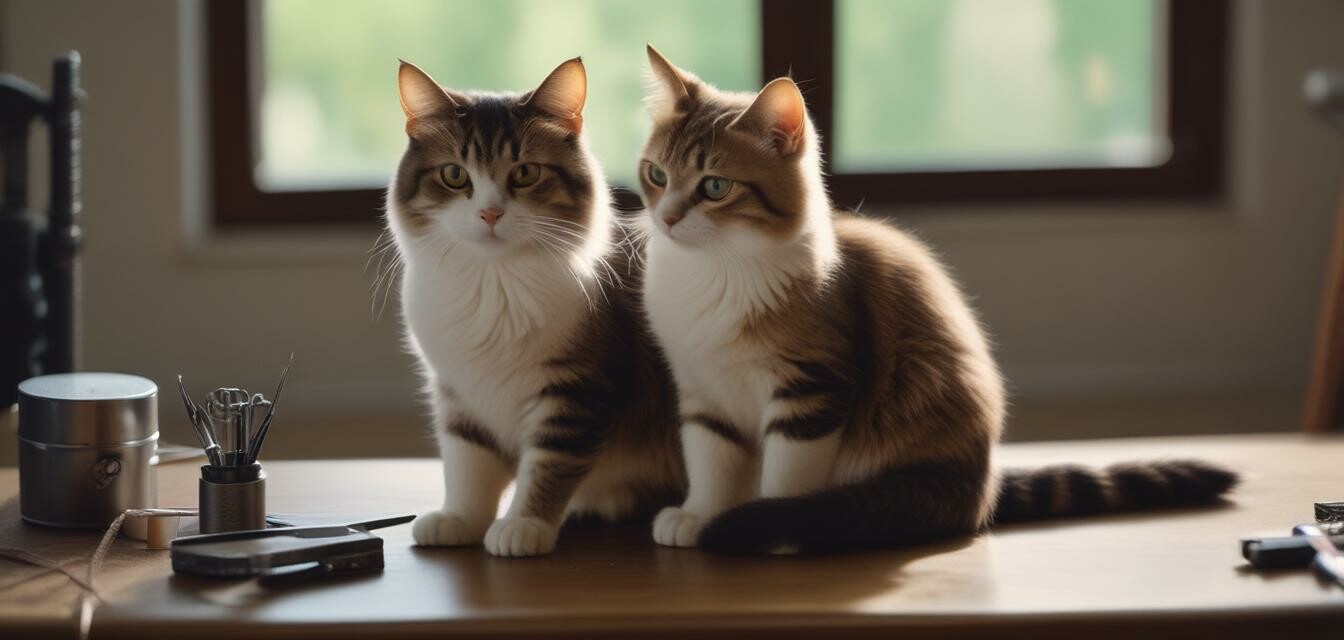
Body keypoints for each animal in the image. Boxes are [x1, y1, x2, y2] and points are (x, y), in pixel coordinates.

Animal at [389, 58, 682, 553]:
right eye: (454, 175)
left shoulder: (576, 393)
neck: (494, 283)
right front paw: (459, 519)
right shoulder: (458, 393)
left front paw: (523, 525)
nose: (490, 213)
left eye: (525, 173)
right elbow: (468, 465)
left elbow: (548, 467)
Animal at [634, 47, 1231, 551]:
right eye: (656, 174)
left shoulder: (814, 387)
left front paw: (771, 522)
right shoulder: (701, 388)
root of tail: (981, 487)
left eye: (715, 186)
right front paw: (700, 513)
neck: (713, 271)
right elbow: (710, 459)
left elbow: (788, 473)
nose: (667, 219)